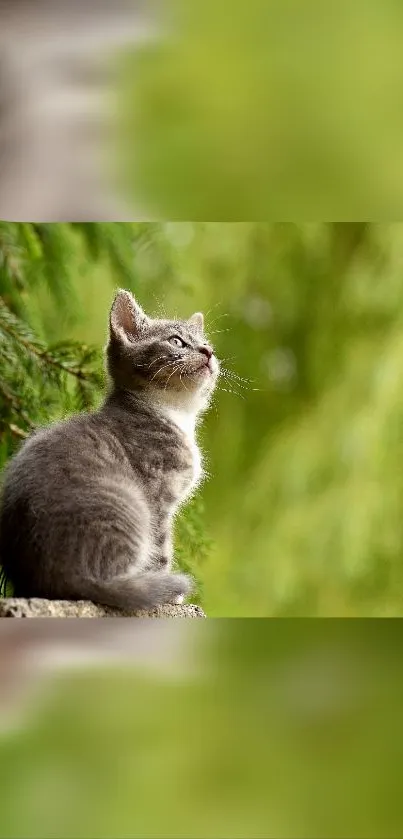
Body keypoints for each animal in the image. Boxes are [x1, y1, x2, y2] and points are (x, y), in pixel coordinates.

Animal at [0, 292, 219, 612]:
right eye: (176, 341)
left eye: (207, 343)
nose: (208, 351)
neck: (173, 413)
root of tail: (59, 579)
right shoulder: (158, 497)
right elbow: (161, 549)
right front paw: (170, 595)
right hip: (130, 505)